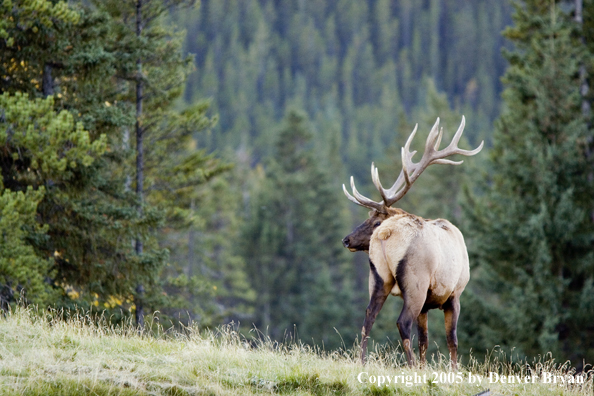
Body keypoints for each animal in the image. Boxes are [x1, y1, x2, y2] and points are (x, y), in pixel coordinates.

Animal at [342, 117, 480, 368]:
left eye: (375, 220)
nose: (346, 240)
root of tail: (387, 234)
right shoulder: (455, 293)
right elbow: (452, 340)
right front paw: (453, 370)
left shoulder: (428, 304)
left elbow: (424, 340)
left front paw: (426, 368)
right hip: (416, 281)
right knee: (402, 322)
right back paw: (411, 365)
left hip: (378, 277)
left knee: (368, 317)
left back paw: (362, 361)